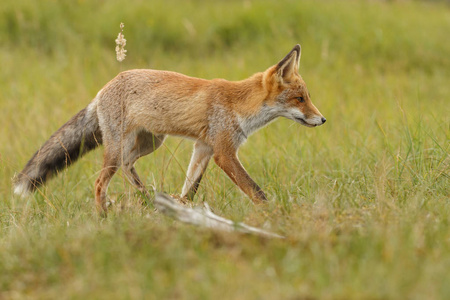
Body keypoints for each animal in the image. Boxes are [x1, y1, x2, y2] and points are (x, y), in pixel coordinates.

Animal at [13, 44, 324, 213]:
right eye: (300, 99)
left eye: (307, 97)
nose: (322, 120)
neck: (238, 105)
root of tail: (104, 88)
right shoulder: (224, 152)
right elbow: (256, 191)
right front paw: (274, 214)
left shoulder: (204, 147)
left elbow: (191, 186)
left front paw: (182, 208)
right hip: (117, 148)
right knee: (100, 182)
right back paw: (103, 216)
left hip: (151, 142)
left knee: (127, 166)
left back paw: (145, 196)